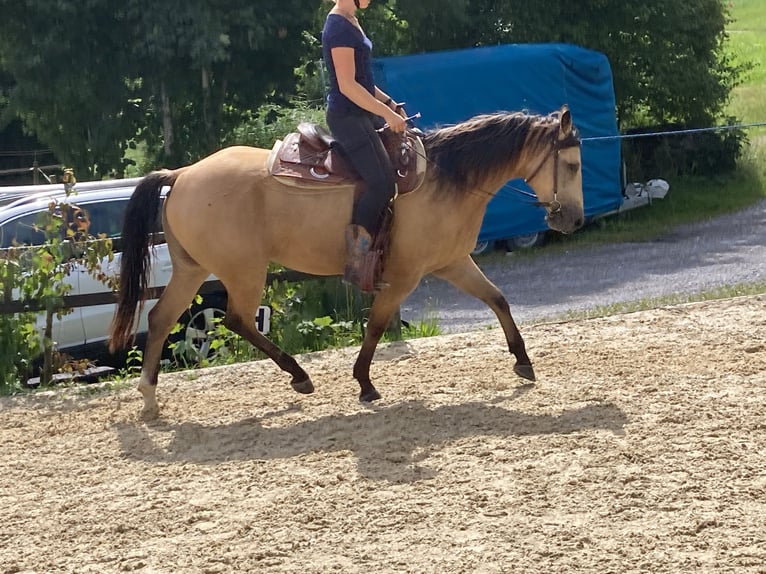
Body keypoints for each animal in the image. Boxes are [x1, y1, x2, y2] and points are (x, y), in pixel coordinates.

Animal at [109, 105, 584, 419]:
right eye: (574, 164)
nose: (574, 219)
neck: (447, 178)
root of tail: (182, 174)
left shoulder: (452, 262)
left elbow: (498, 299)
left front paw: (523, 362)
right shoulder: (404, 277)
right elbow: (375, 325)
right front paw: (365, 383)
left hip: (193, 269)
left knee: (160, 319)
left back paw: (150, 398)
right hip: (244, 271)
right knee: (237, 320)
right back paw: (299, 375)